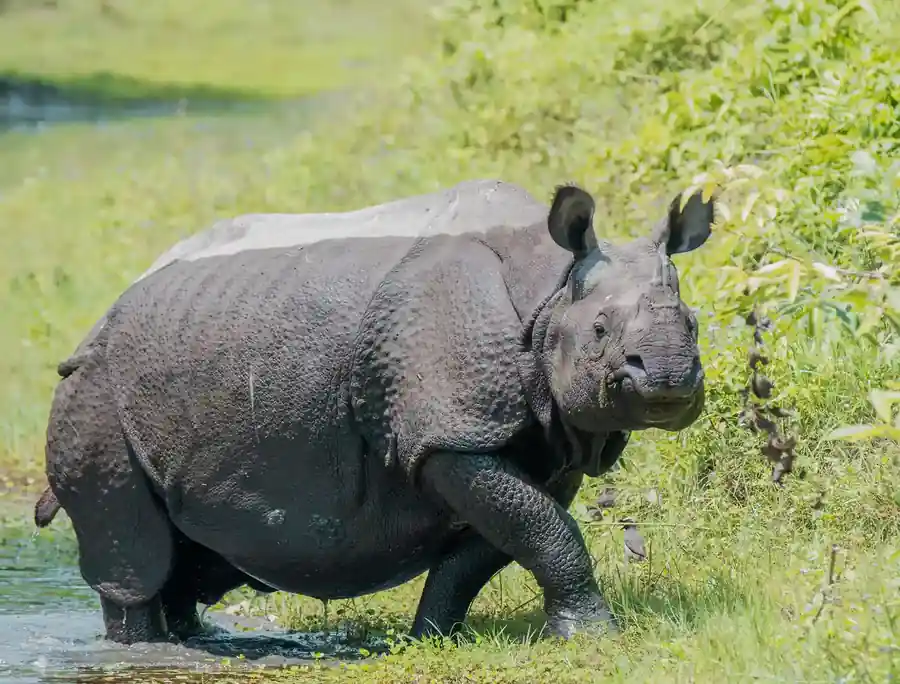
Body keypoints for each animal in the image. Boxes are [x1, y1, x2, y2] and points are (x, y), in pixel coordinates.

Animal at [39, 179, 714, 645]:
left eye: (695, 324)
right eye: (598, 330)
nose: (668, 378)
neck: (549, 291)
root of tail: (102, 315)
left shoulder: (538, 444)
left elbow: (496, 545)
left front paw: (434, 639)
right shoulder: (448, 435)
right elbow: (546, 530)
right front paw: (594, 637)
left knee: (188, 550)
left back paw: (193, 638)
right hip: (93, 388)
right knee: (134, 554)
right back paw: (144, 647)